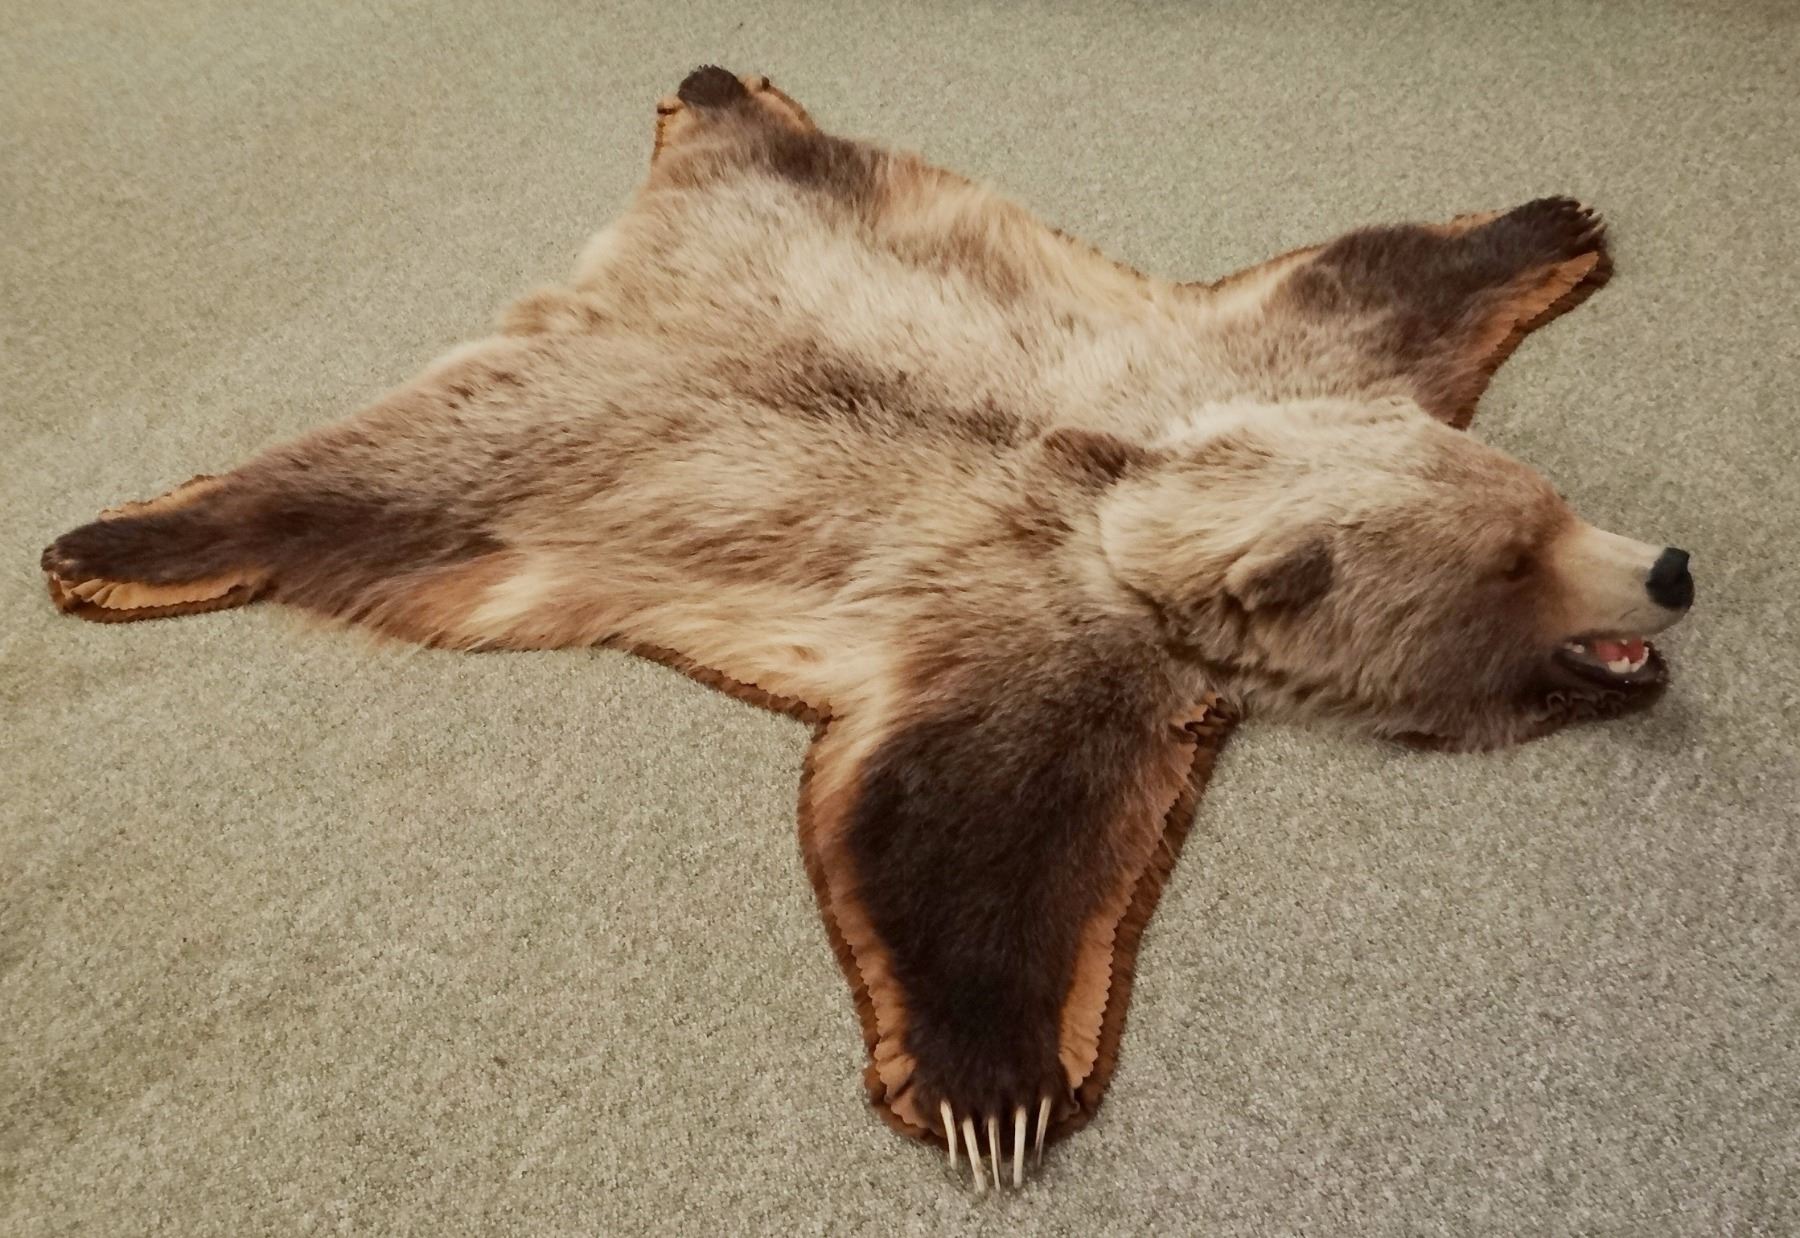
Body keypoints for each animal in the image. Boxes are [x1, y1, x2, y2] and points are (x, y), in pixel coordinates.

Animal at [40, 67, 1692, 1189]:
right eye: (1515, 561)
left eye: (1545, 502)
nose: (1671, 567)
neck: (1140, 512)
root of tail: (599, 292)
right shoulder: (1028, 633)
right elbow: (953, 825)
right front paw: (994, 1082)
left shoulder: (1275, 366)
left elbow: (1380, 272)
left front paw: (1554, 212)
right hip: (505, 471)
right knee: (326, 495)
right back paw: (110, 543)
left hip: (811, 215)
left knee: (779, 148)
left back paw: (723, 86)